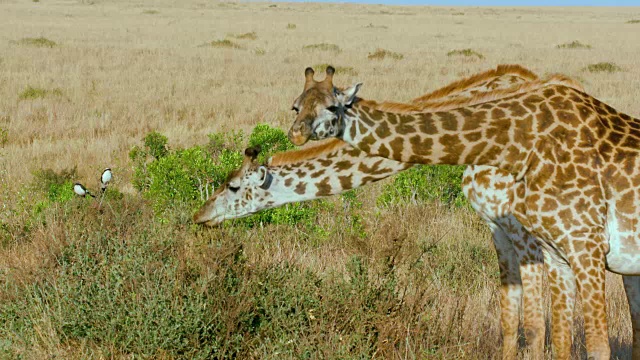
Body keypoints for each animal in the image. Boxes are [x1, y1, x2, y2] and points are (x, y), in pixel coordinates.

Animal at [198, 66, 588, 358]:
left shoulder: (526, 233)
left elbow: (538, 327)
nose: (200, 216)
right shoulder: (497, 227)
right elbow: (511, 321)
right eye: (295, 106)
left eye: (233, 186)